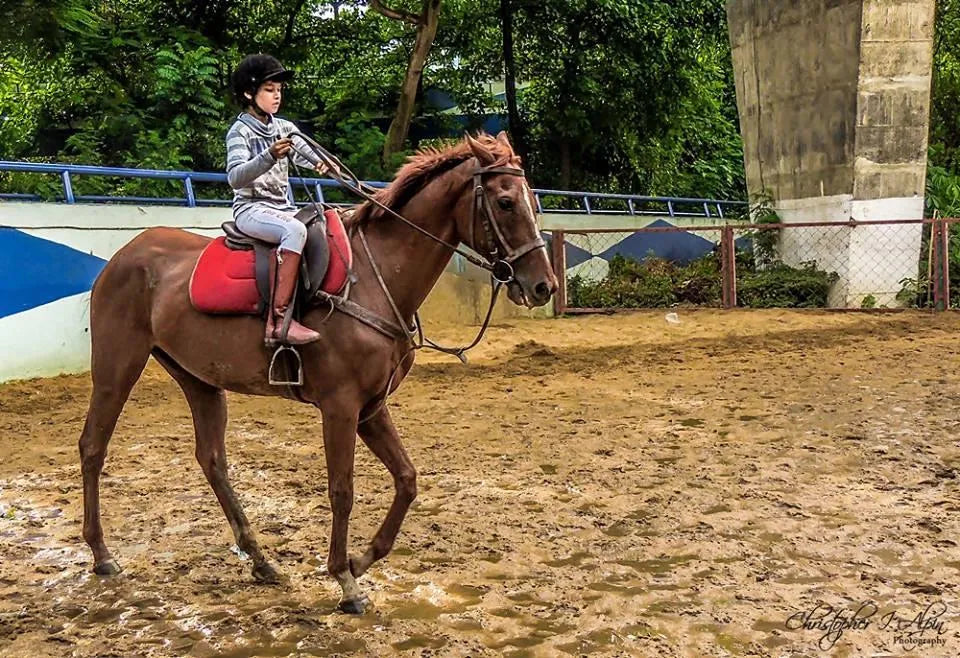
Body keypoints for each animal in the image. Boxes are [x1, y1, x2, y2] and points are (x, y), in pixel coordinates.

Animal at [77, 132, 558, 613]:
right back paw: (101, 554)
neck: (374, 277)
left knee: (212, 460)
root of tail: (122, 256)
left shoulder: (371, 407)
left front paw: (363, 559)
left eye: (532, 200)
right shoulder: (340, 407)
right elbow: (342, 490)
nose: (543, 286)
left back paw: (261, 561)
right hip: (118, 367)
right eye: (505, 202)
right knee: (93, 447)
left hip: (199, 380)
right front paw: (345, 579)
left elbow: (406, 480)